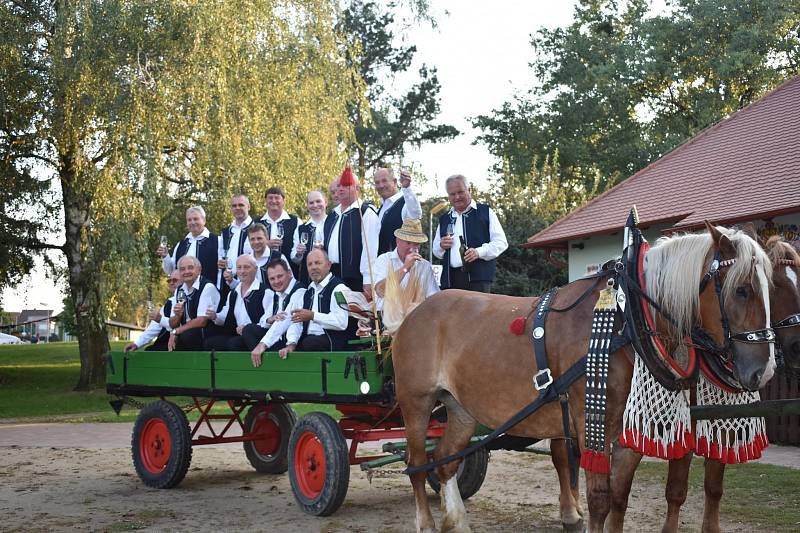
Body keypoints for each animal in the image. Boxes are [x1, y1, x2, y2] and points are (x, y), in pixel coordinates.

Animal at [388, 222, 776, 528]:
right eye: (741, 289)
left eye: (770, 290)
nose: (765, 370)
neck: (626, 321)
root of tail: (416, 310)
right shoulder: (592, 427)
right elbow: (600, 499)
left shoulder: (625, 436)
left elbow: (619, 498)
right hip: (416, 403)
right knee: (416, 463)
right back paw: (426, 523)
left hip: (460, 409)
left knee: (445, 461)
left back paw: (455, 520)